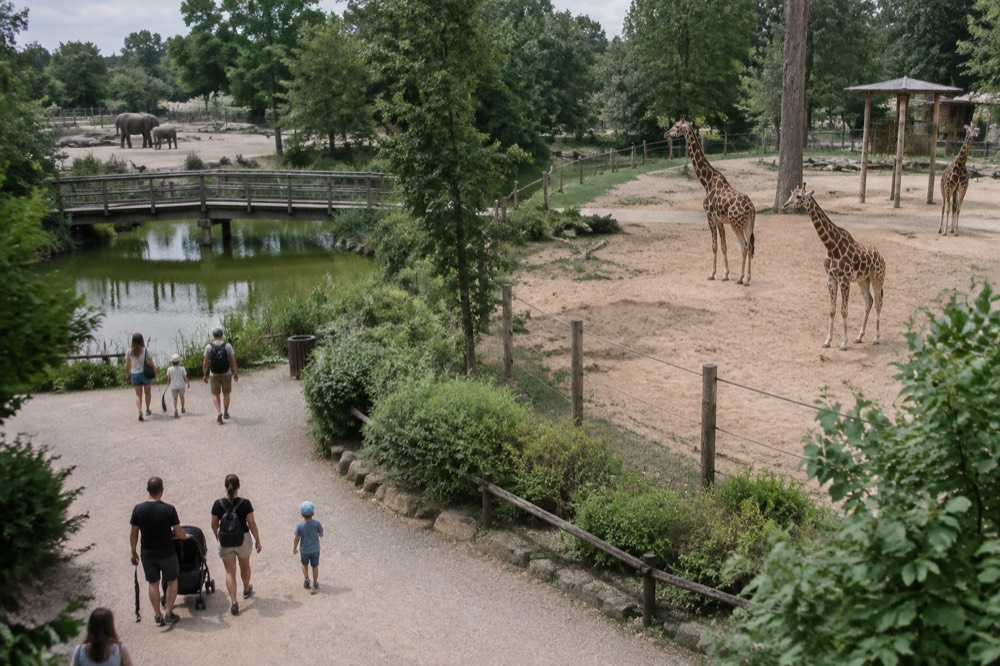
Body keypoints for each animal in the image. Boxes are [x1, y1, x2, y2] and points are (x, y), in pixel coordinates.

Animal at [664, 118, 756, 285]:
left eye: (677, 126)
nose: (666, 133)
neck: (706, 182)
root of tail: (751, 208)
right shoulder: (719, 220)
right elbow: (723, 246)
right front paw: (725, 274)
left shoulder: (710, 217)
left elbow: (714, 246)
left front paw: (712, 274)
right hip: (748, 224)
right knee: (750, 247)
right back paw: (748, 278)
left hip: (736, 224)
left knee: (745, 246)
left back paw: (741, 278)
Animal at [780, 184, 885, 351]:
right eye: (791, 194)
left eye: (799, 196)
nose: (784, 206)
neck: (832, 246)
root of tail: (882, 258)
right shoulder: (830, 278)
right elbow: (832, 310)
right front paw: (827, 341)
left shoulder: (844, 279)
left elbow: (844, 310)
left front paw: (843, 343)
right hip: (863, 279)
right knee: (869, 302)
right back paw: (859, 337)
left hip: (877, 278)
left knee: (878, 303)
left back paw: (876, 338)